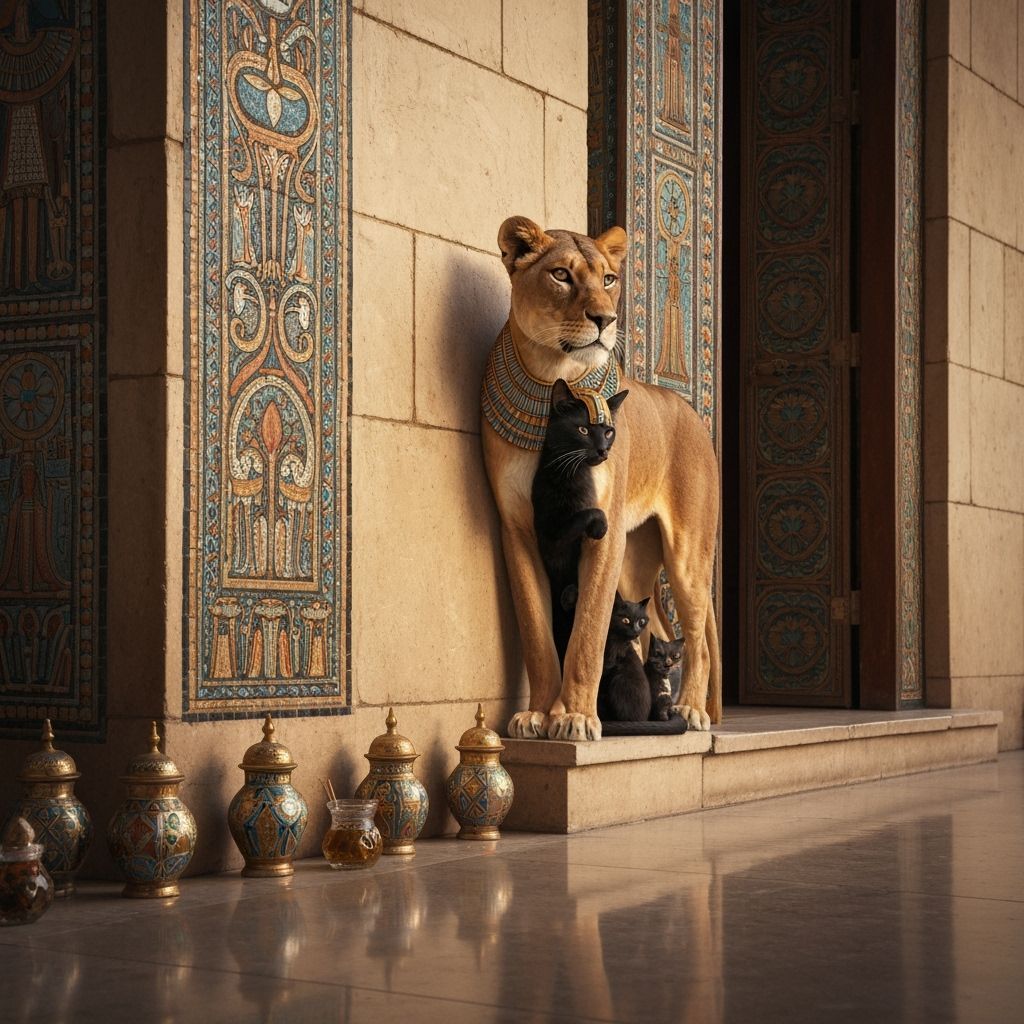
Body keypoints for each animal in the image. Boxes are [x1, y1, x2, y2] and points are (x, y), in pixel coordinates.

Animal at [481, 215, 721, 741]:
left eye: (609, 279)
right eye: (561, 276)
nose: (605, 319)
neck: (554, 376)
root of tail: (689, 410)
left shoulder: (604, 531)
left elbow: (589, 629)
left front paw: (574, 716)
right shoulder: (517, 529)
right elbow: (537, 631)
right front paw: (538, 712)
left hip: (686, 555)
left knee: (696, 638)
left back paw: (691, 711)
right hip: (635, 561)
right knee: (659, 630)